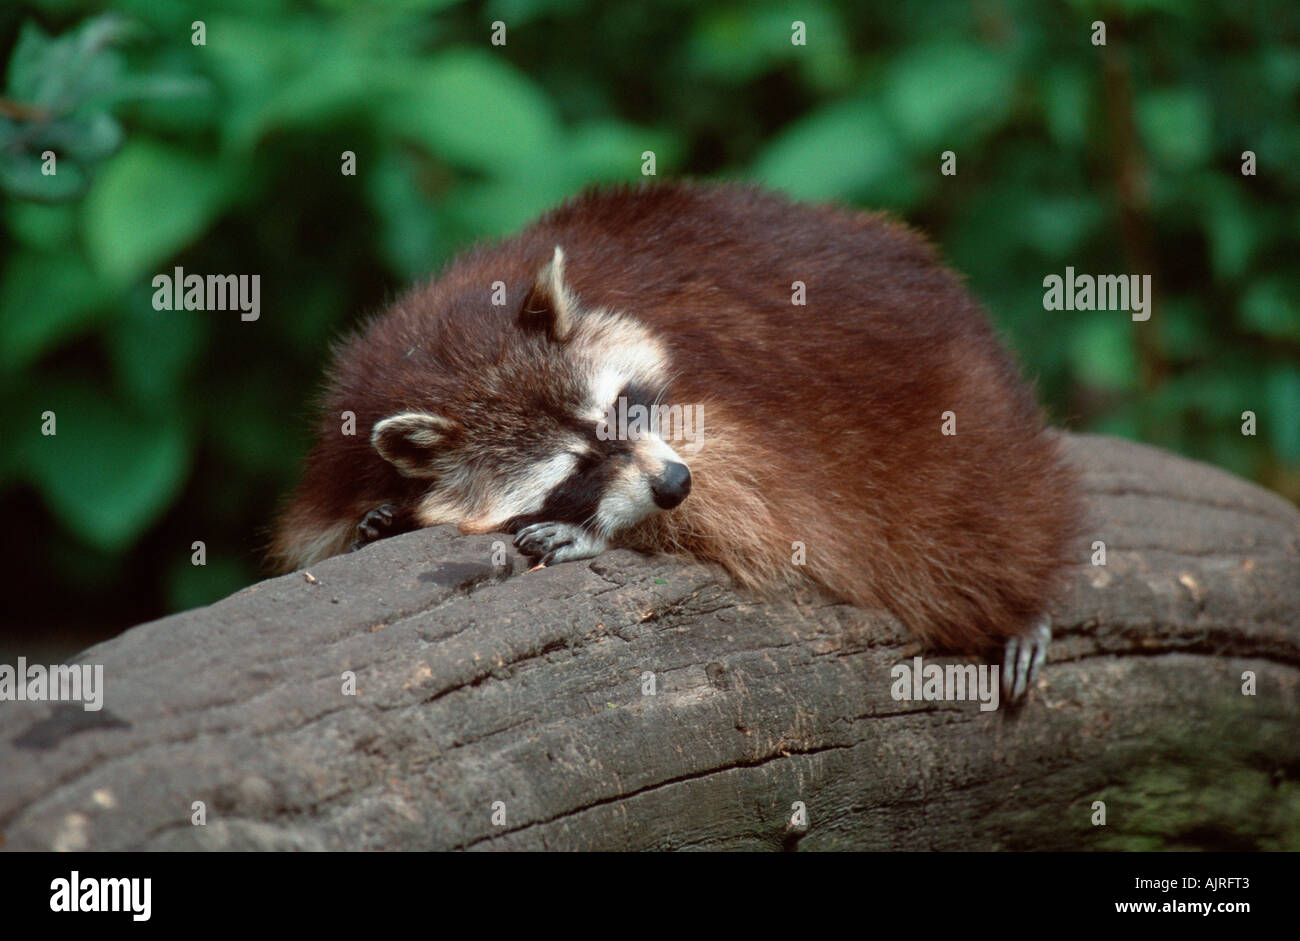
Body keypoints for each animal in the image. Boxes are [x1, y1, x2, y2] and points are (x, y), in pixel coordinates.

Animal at [270, 182, 1083, 700]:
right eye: (577, 468)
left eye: (624, 412)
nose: (670, 486)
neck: (448, 351)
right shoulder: (346, 427)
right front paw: (385, 517)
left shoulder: (729, 409)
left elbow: (756, 504)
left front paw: (603, 529)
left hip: (959, 414)